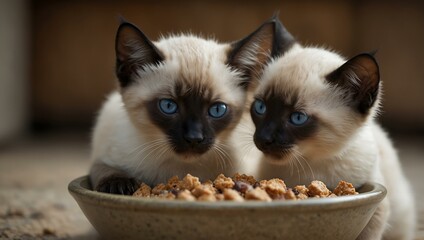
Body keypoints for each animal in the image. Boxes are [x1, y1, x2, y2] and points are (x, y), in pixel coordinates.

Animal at [88, 18, 278, 195]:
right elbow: (103, 169)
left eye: (217, 110)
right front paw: (120, 185)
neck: (181, 171)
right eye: (168, 106)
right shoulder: (102, 155)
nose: (194, 138)